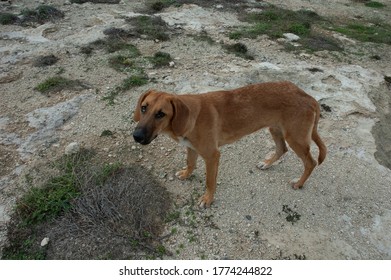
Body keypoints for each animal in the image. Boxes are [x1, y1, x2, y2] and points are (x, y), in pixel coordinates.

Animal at [135, 81, 328, 208]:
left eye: (161, 114)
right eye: (144, 108)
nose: (136, 136)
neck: (191, 117)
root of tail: (309, 97)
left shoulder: (212, 156)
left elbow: (210, 181)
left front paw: (207, 199)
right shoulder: (191, 147)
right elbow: (190, 163)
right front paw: (186, 174)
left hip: (295, 137)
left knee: (310, 162)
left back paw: (299, 183)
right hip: (275, 129)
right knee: (282, 149)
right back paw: (266, 164)